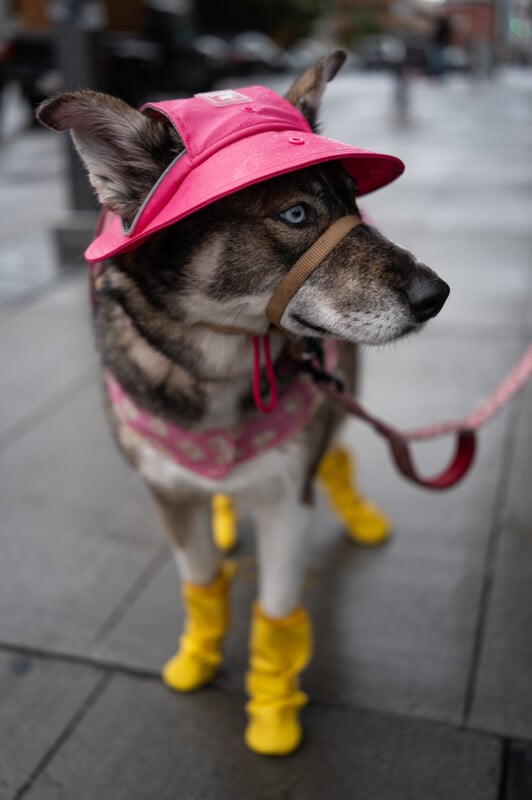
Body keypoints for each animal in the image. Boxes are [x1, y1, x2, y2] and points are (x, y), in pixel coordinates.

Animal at [36, 51, 448, 756]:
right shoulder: (168, 494)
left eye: (352, 199)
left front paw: (273, 705)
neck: (222, 362)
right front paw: (198, 657)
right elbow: (202, 580)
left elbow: (277, 610)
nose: (437, 294)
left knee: (336, 450)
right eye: (296, 215)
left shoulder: (286, 502)